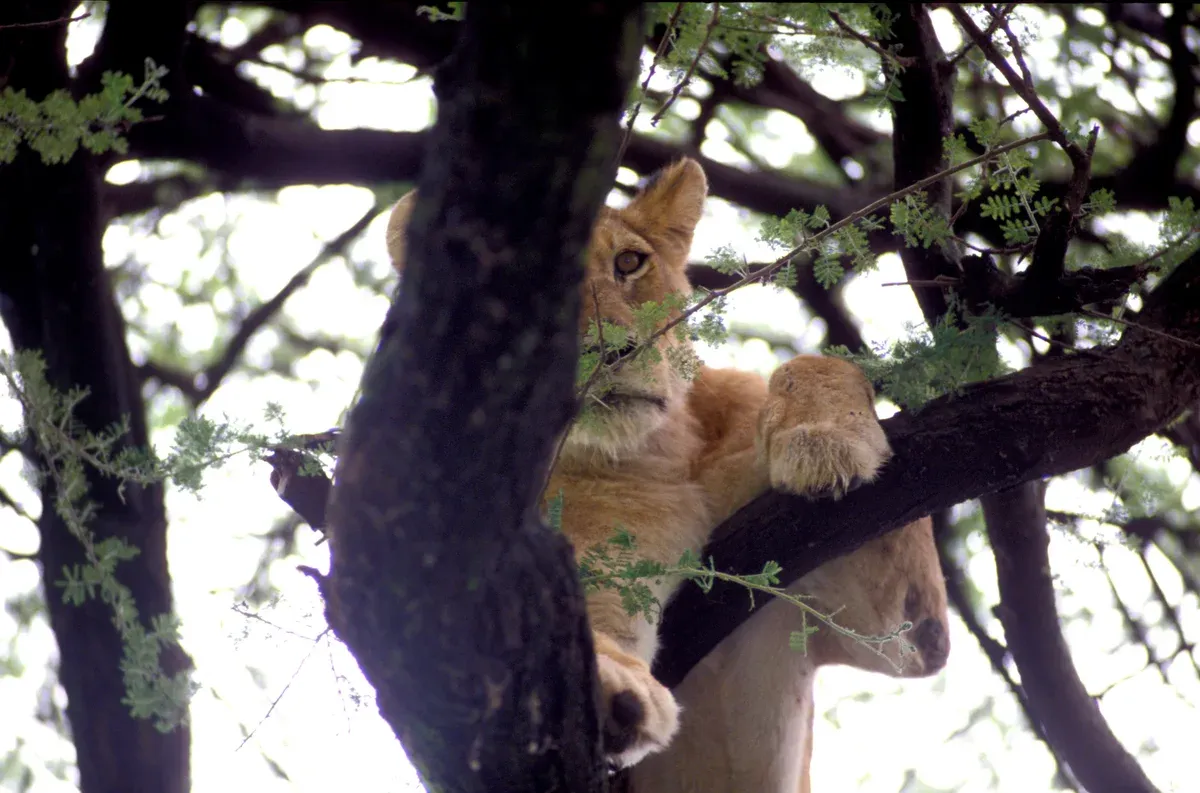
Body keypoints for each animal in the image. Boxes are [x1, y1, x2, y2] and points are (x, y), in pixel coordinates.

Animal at [385, 158, 950, 790]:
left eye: (629, 262)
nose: (608, 350)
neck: (667, 450)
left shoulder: (902, 625)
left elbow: (816, 365)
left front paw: (825, 440)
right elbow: (597, 619)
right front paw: (615, 688)